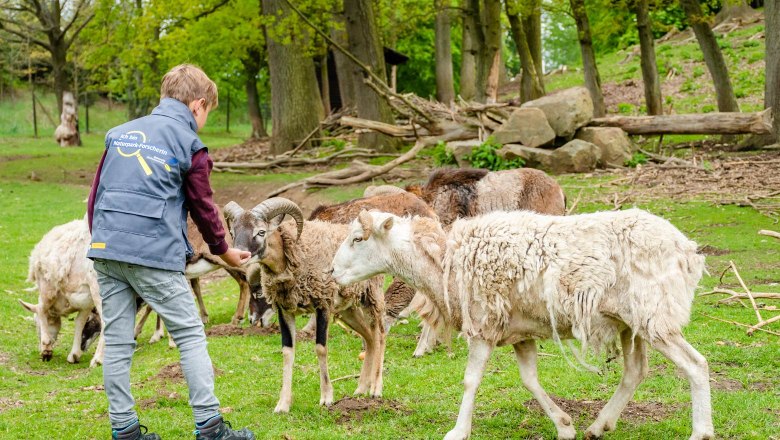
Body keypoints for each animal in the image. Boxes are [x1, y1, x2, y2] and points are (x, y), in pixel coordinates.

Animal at [222, 198, 386, 414]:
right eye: (233, 232)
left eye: (261, 232)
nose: (240, 255)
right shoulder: (285, 311)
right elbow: (287, 353)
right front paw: (282, 405)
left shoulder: (322, 304)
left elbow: (320, 348)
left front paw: (326, 398)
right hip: (348, 310)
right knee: (369, 338)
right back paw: (361, 389)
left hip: (372, 296)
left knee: (381, 336)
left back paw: (376, 389)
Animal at [330, 209, 712, 440]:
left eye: (358, 239)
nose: (332, 272)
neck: (444, 262)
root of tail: (688, 251)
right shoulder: (519, 332)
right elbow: (530, 381)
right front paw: (564, 425)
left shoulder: (483, 323)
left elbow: (470, 381)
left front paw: (458, 430)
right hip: (630, 322)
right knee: (635, 372)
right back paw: (598, 425)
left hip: (655, 313)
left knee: (695, 365)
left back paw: (701, 431)